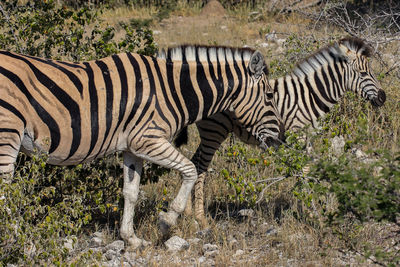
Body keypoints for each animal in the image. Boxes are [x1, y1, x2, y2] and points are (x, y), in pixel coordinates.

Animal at [0, 45, 282, 249]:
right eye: (270, 96)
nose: (280, 140)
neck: (172, 91)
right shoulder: (148, 140)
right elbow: (190, 170)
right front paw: (167, 221)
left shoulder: (132, 148)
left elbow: (131, 192)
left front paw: (131, 239)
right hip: (8, 133)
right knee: (5, 194)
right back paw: (15, 241)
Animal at [176, 36, 388, 227]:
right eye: (363, 73)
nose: (383, 98)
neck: (310, 95)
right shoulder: (297, 135)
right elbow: (303, 171)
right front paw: (312, 213)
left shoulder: (307, 139)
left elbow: (306, 170)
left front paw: (309, 209)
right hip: (214, 131)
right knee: (201, 166)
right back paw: (200, 217)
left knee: (195, 161)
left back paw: (188, 212)